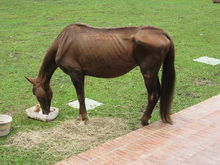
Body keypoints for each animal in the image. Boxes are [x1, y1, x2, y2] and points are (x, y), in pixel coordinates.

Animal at [25, 23, 176, 125]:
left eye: (35, 93)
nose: (45, 112)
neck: (63, 42)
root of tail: (161, 33)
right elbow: (80, 97)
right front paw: (80, 117)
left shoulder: (76, 74)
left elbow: (80, 96)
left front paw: (84, 118)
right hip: (153, 72)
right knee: (158, 92)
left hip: (148, 72)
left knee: (153, 95)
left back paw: (143, 121)